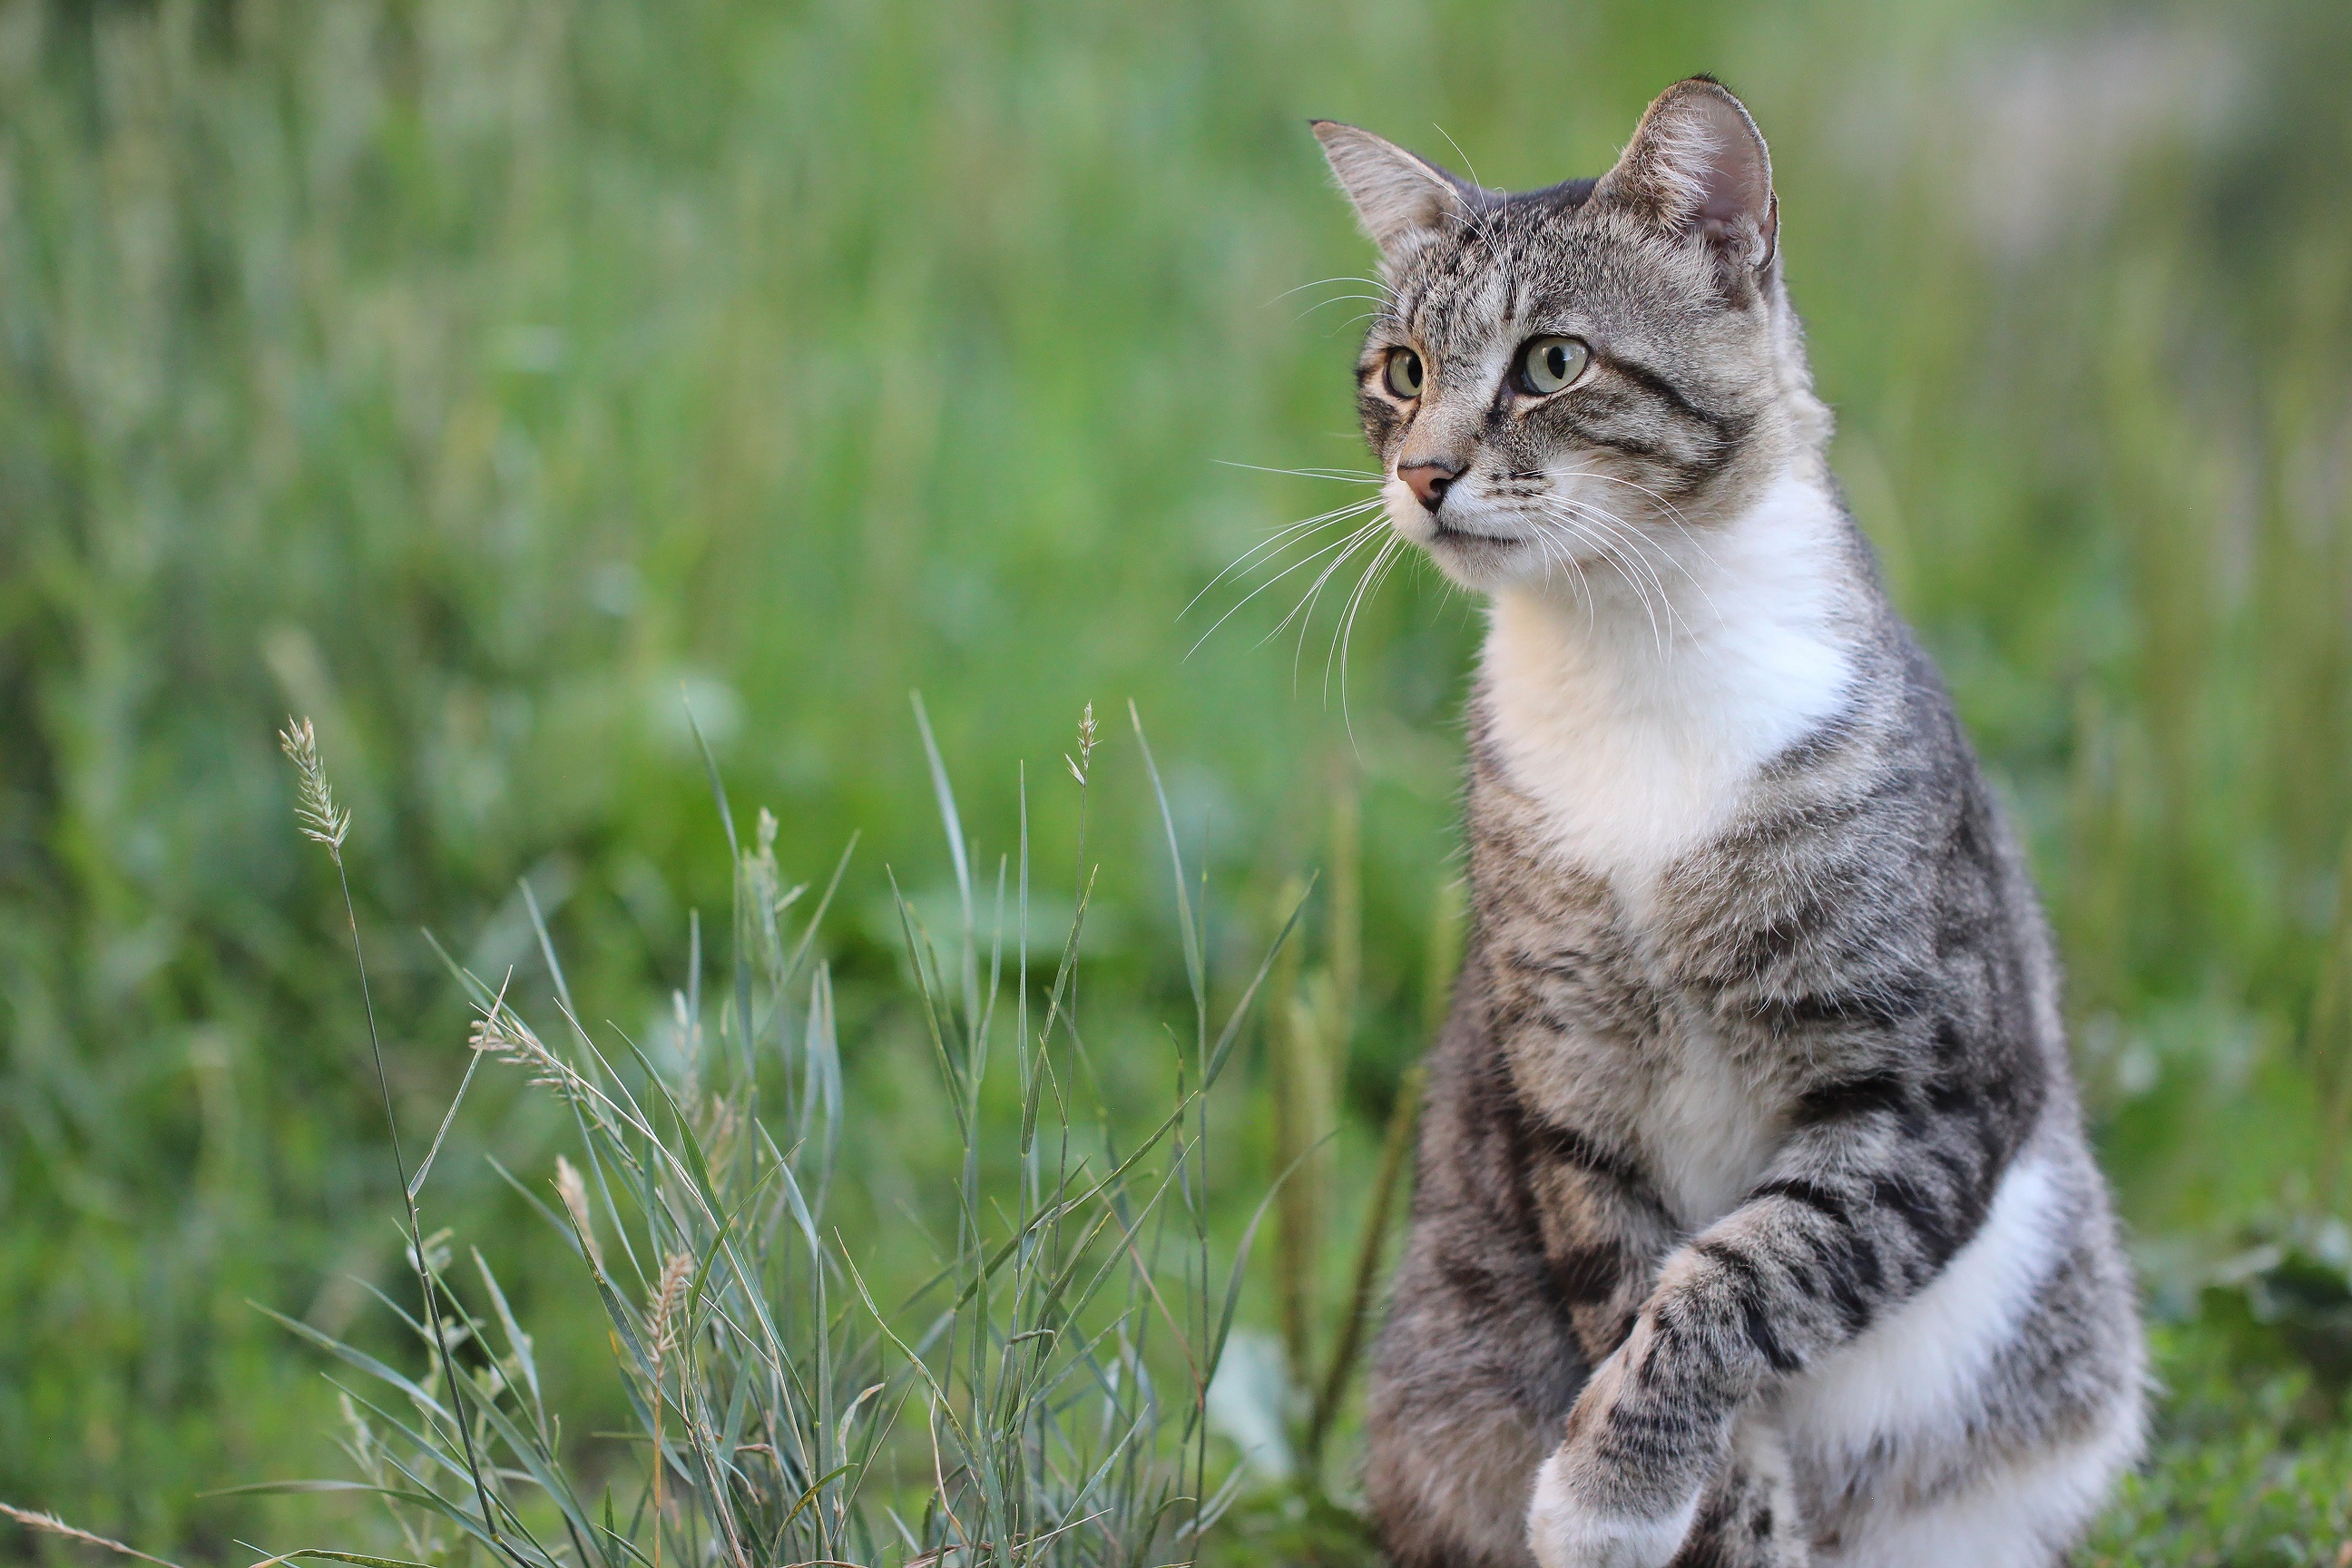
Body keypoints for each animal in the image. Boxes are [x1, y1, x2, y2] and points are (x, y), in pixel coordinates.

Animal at [1308, 83, 2154, 1568]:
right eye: (1402, 372)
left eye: (1553, 362)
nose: (1422, 473)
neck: (1629, 659)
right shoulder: (1577, 1106)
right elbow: (1645, 1303)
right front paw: (1687, 1511)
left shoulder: (1928, 1089)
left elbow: (1739, 1280)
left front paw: (1611, 1486)